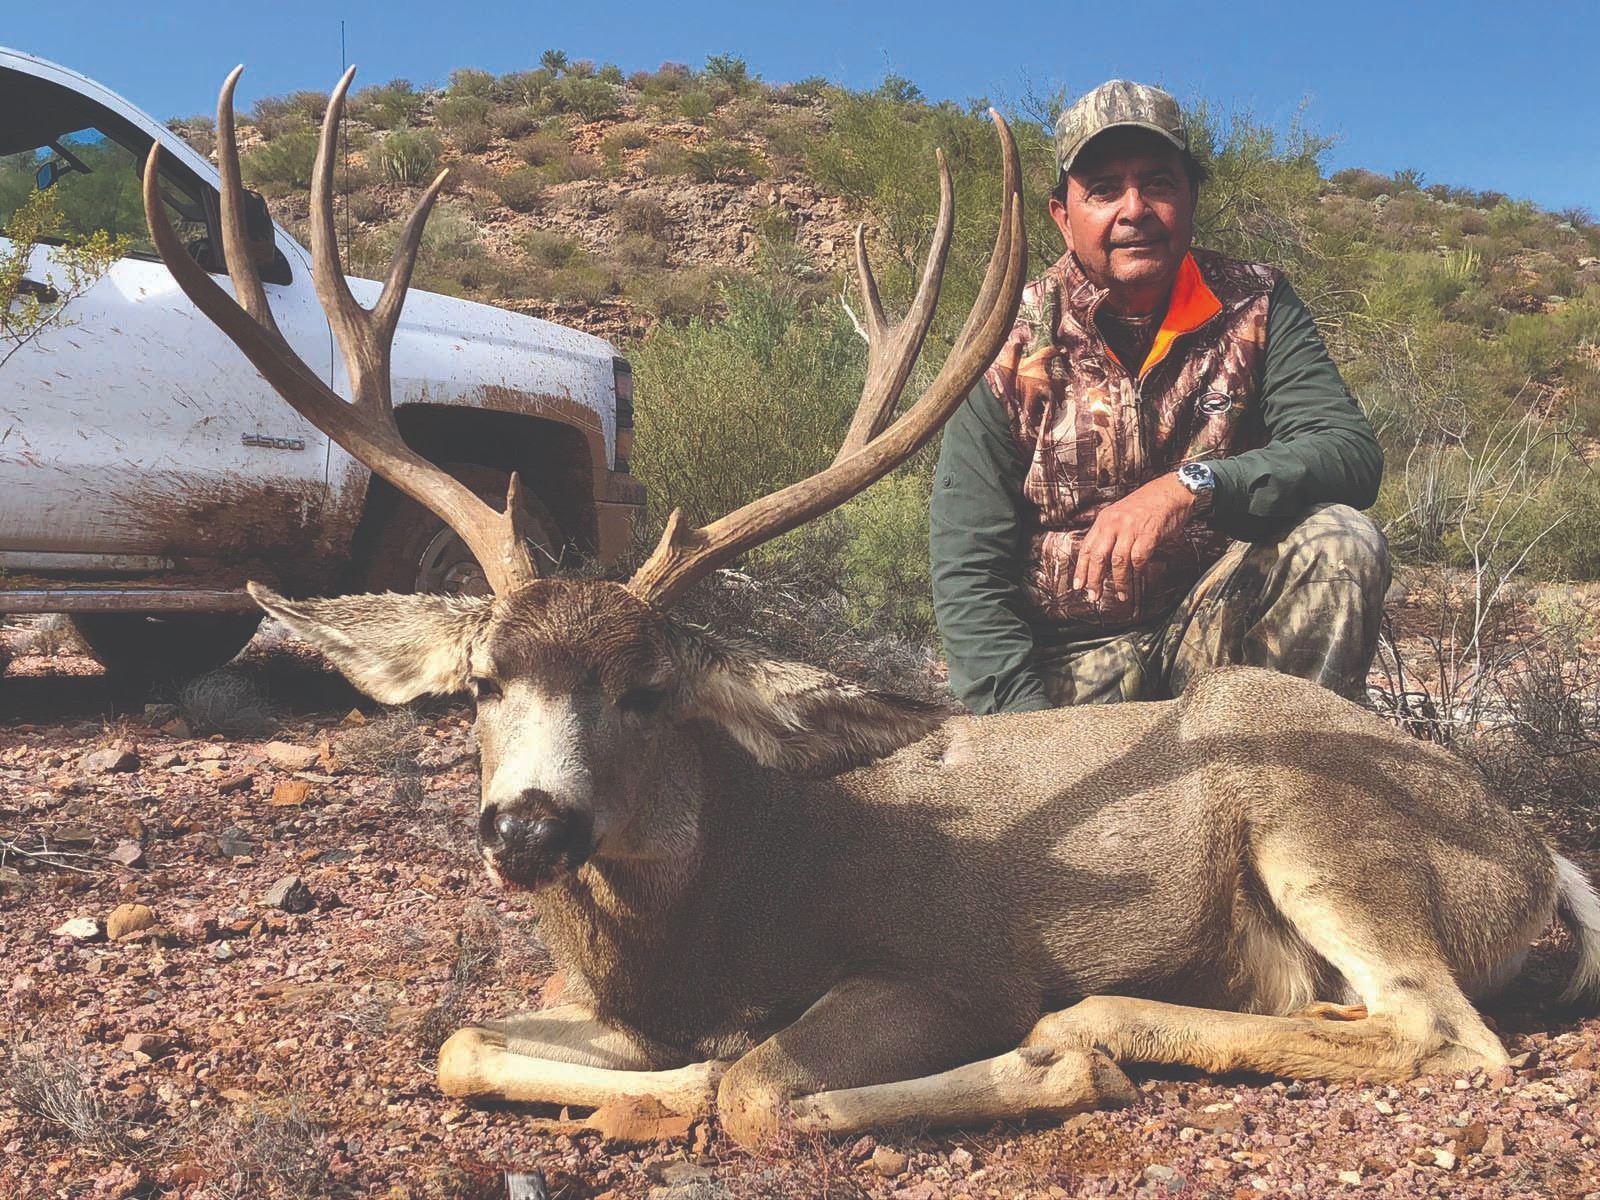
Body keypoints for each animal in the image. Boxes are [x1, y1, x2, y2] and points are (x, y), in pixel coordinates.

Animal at [141, 66, 1600, 1151]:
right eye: (483, 683)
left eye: (647, 688)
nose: (526, 828)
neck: (717, 902)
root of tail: (1535, 854)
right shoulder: (603, 1002)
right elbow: (461, 1040)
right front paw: (648, 1087)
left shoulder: (948, 967)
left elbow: (756, 1090)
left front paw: (1026, 1067)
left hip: (1322, 822)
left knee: (1445, 1035)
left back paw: (1101, 1027)